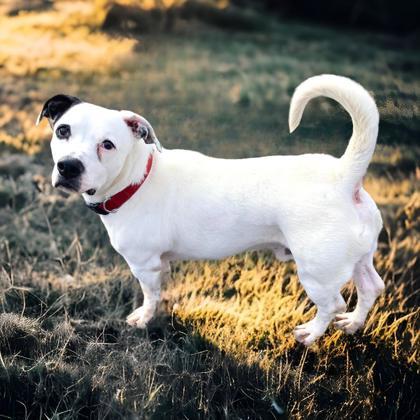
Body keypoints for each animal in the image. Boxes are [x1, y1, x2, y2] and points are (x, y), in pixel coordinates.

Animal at [37, 74, 386, 344]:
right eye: (63, 131)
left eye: (107, 145)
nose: (68, 166)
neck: (138, 179)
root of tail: (343, 176)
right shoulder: (160, 264)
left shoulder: (144, 265)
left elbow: (150, 296)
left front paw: (143, 319)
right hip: (357, 259)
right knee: (371, 287)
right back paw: (354, 323)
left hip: (317, 272)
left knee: (333, 304)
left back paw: (312, 333)